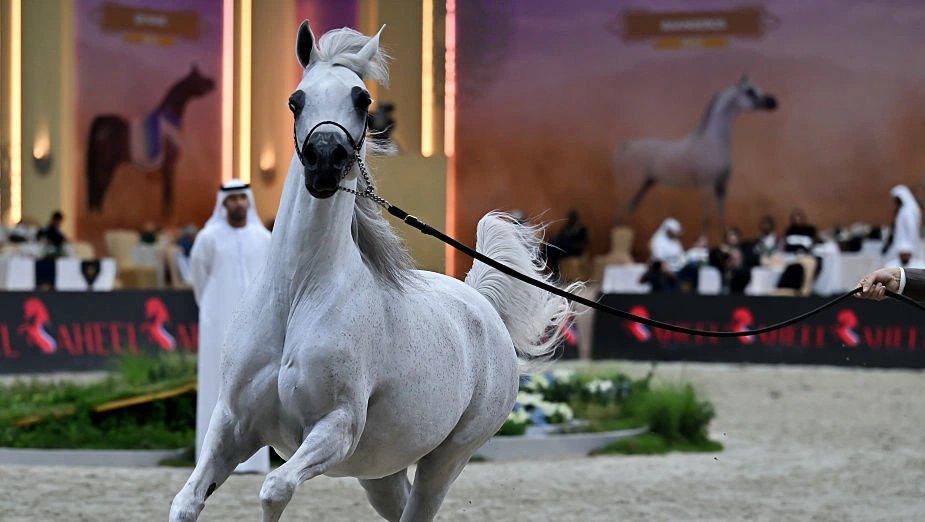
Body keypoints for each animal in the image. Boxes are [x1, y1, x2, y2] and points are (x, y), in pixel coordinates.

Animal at [85, 64, 215, 216]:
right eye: (198, 77)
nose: (213, 83)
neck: (168, 122)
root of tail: (104, 122)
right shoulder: (169, 166)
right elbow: (168, 194)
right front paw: (168, 216)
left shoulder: (166, 168)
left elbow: (166, 194)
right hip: (106, 163)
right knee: (100, 187)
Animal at [169, 22, 578, 522]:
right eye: (295, 100)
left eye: (362, 99)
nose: (325, 160)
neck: (299, 297)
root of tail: (481, 304)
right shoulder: (232, 422)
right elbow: (187, 501)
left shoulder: (337, 428)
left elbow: (274, 488)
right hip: (380, 471)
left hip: (446, 459)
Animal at [615, 74, 777, 236]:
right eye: (749, 91)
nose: (773, 102)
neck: (712, 142)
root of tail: (625, 147)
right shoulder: (707, 187)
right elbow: (706, 219)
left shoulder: (722, 187)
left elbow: (721, 218)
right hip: (630, 188)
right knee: (620, 212)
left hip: (645, 185)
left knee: (628, 211)